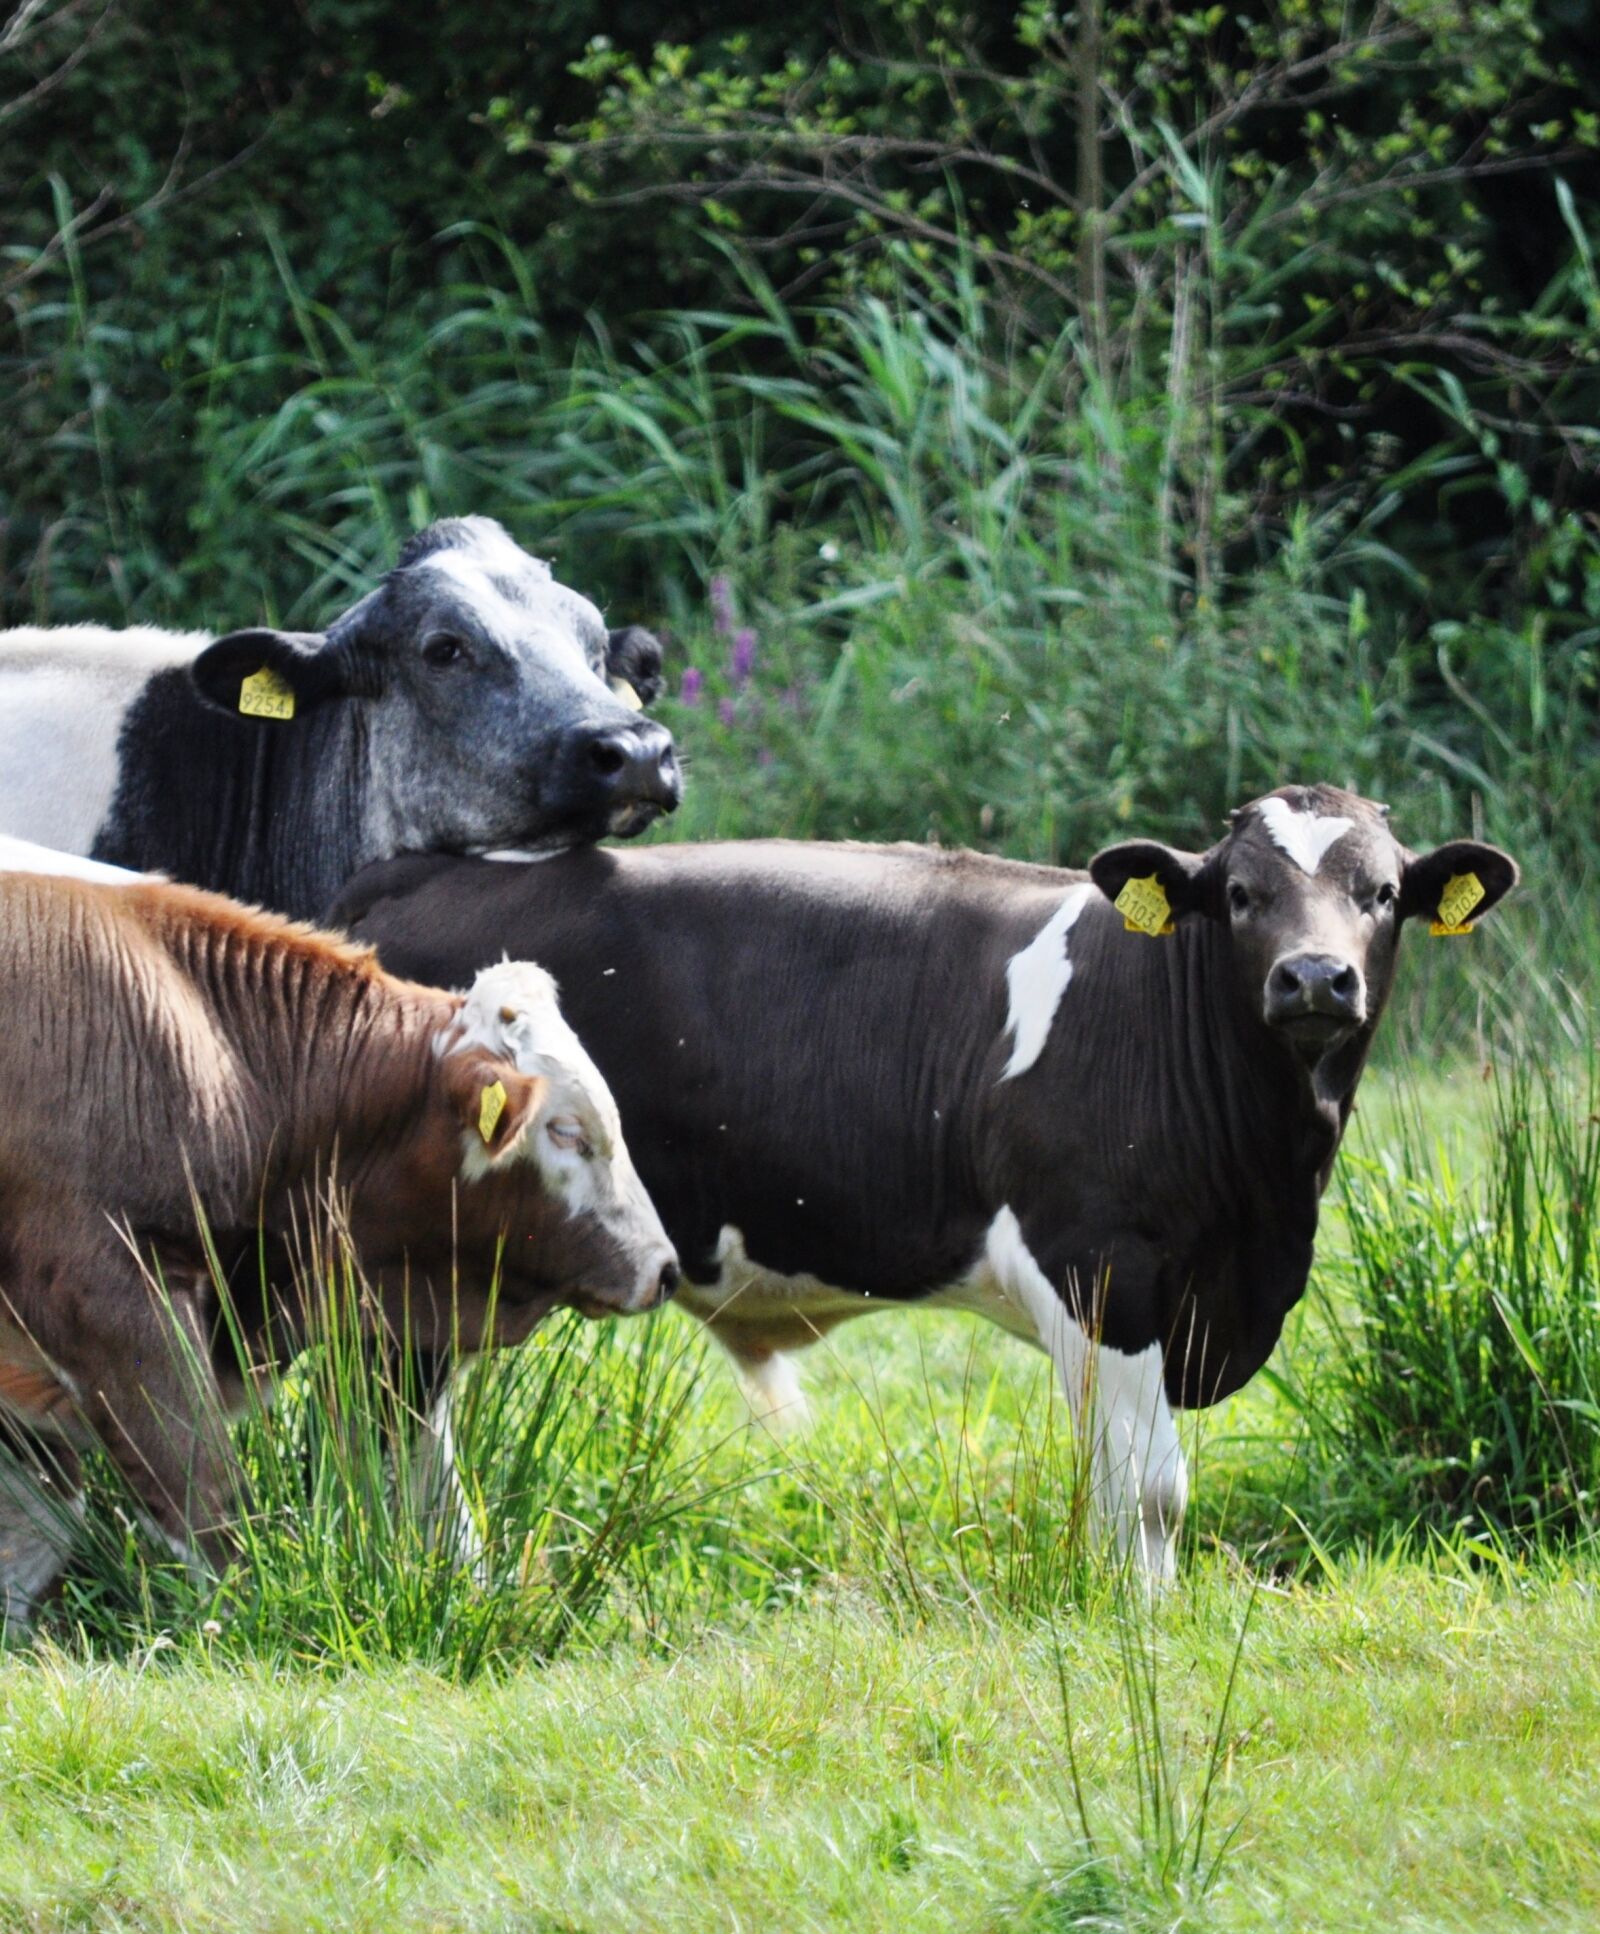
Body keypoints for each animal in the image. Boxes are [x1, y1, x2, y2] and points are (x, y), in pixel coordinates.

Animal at [329, 786, 1519, 1581]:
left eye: (1381, 893)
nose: (1314, 977)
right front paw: (1145, 1621)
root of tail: (409, 876)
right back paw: (445, 1579)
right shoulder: (1099, 1262)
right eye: (1238, 892)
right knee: (397, 1419)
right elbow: (1147, 1489)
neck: (1262, 1206)